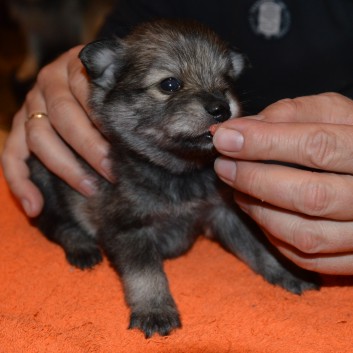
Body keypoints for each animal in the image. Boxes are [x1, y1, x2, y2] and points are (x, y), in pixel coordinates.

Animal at [28, 20, 320, 338]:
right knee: (55, 224)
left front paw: (286, 271)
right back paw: (81, 247)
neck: (179, 169)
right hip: (44, 179)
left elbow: (256, 246)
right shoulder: (128, 226)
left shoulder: (224, 211)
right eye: (169, 84)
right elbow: (146, 274)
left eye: (226, 79)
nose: (222, 108)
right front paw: (155, 311)